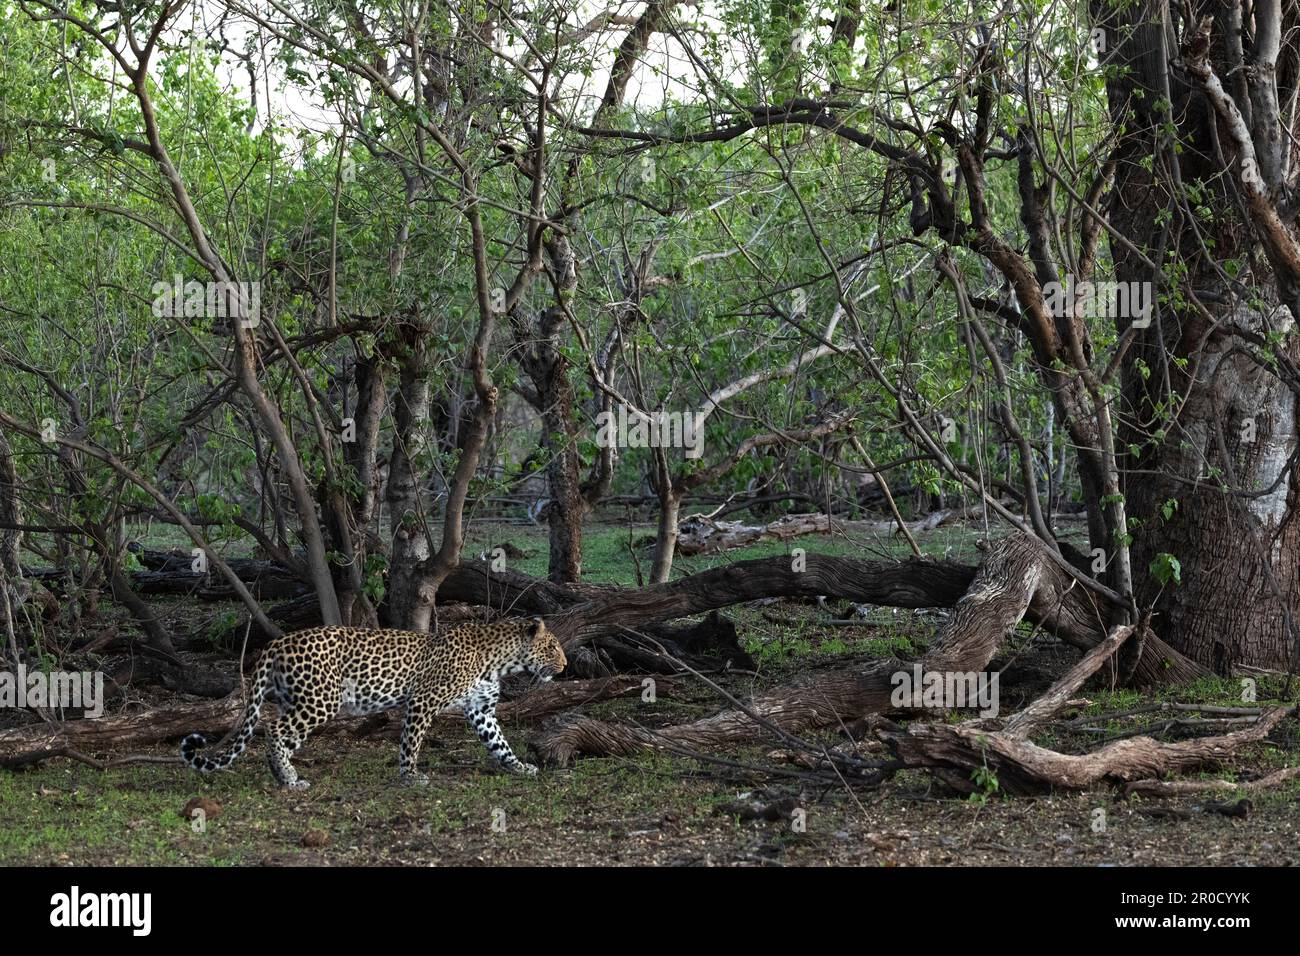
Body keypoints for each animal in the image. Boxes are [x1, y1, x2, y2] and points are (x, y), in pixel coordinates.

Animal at [180, 616, 566, 790]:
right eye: (552, 647)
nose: (564, 667)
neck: (499, 661)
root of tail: (277, 642)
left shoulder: (481, 711)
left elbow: (500, 744)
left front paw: (519, 767)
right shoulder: (423, 701)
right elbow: (411, 742)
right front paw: (410, 776)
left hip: (300, 699)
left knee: (280, 734)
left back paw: (283, 774)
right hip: (319, 700)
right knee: (274, 729)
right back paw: (289, 778)